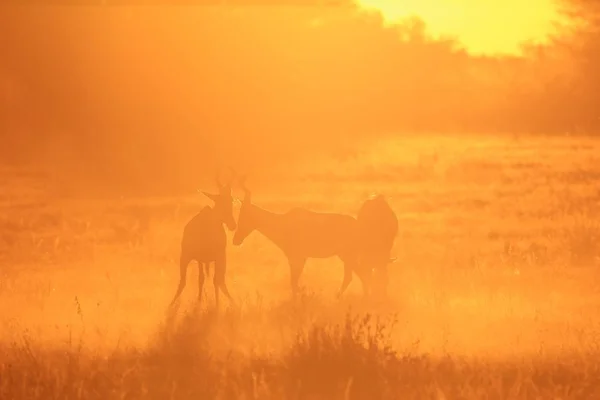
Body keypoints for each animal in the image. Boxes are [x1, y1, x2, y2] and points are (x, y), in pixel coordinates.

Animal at [170, 167, 238, 308]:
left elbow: (217, 280)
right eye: (218, 200)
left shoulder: (219, 256)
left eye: (231, 199)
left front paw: (218, 305)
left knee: (215, 280)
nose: (232, 225)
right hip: (195, 258)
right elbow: (188, 281)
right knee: (194, 279)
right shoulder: (191, 257)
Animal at [232, 177, 372, 298]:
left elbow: (294, 283)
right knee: (359, 275)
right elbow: (294, 283)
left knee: (357, 275)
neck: (282, 222)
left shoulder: (297, 258)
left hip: (349, 255)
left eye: (244, 214)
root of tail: (359, 226)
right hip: (345, 256)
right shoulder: (296, 258)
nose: (236, 240)